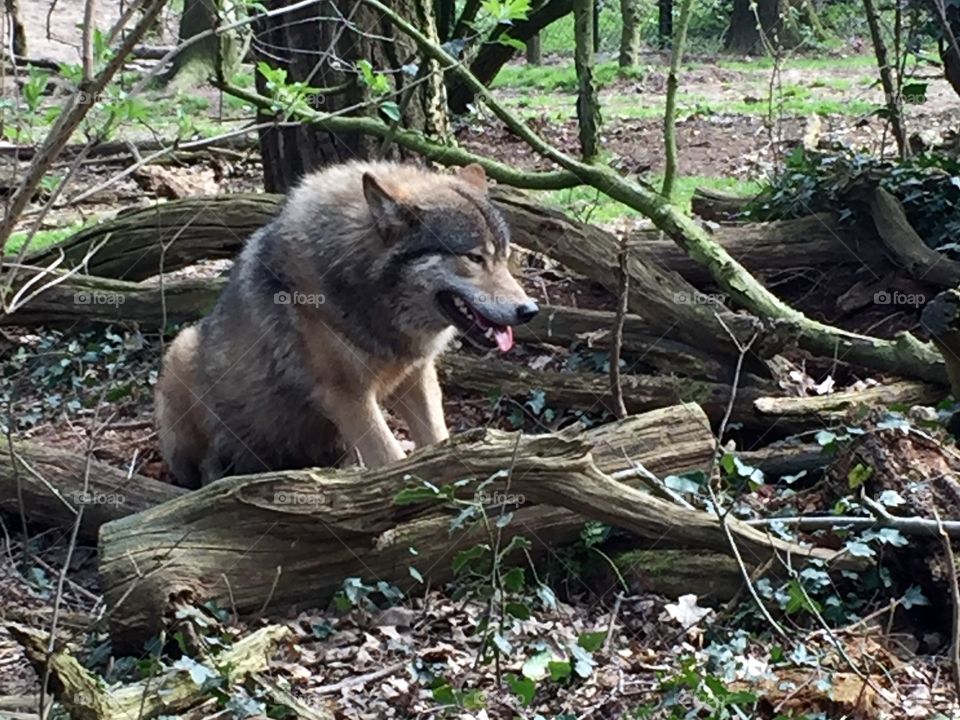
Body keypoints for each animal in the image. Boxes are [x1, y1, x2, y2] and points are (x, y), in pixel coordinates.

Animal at [155, 161, 539, 488]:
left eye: (504, 256)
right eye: (474, 258)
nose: (529, 310)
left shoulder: (416, 377)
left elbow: (436, 439)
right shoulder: (346, 397)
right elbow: (391, 457)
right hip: (181, 350)